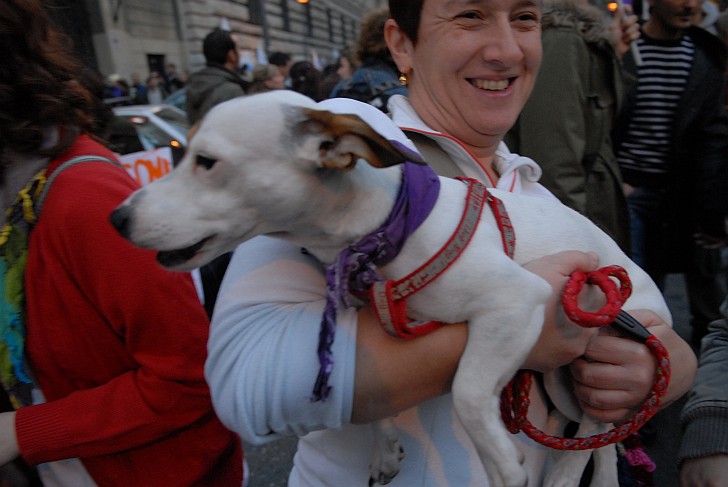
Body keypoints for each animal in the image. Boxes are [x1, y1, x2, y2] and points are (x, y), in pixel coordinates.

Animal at [109, 91, 672, 487]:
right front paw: (383, 448)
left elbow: (468, 392)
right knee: (601, 435)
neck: (389, 227)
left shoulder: (515, 299)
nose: (117, 218)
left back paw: (562, 473)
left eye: (206, 161)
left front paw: (504, 465)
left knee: (599, 427)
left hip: (597, 348)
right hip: (560, 378)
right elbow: (375, 399)